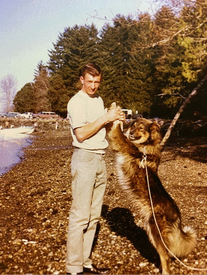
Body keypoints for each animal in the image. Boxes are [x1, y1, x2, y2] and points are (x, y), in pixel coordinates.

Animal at [109, 113, 196, 274]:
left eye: (141, 128)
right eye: (133, 126)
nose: (131, 132)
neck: (144, 146)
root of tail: (178, 216)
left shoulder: (121, 143)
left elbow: (116, 131)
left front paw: (113, 114)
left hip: (155, 231)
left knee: (166, 256)